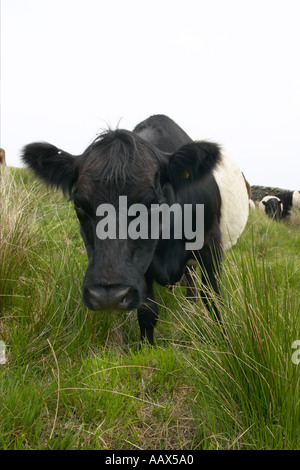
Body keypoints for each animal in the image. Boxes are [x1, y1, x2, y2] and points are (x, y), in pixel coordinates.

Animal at [21, 114, 248, 342]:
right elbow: (148, 310)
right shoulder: (142, 264)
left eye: (153, 203)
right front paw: (146, 346)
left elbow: (213, 299)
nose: (108, 297)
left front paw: (224, 341)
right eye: (79, 205)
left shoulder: (211, 242)